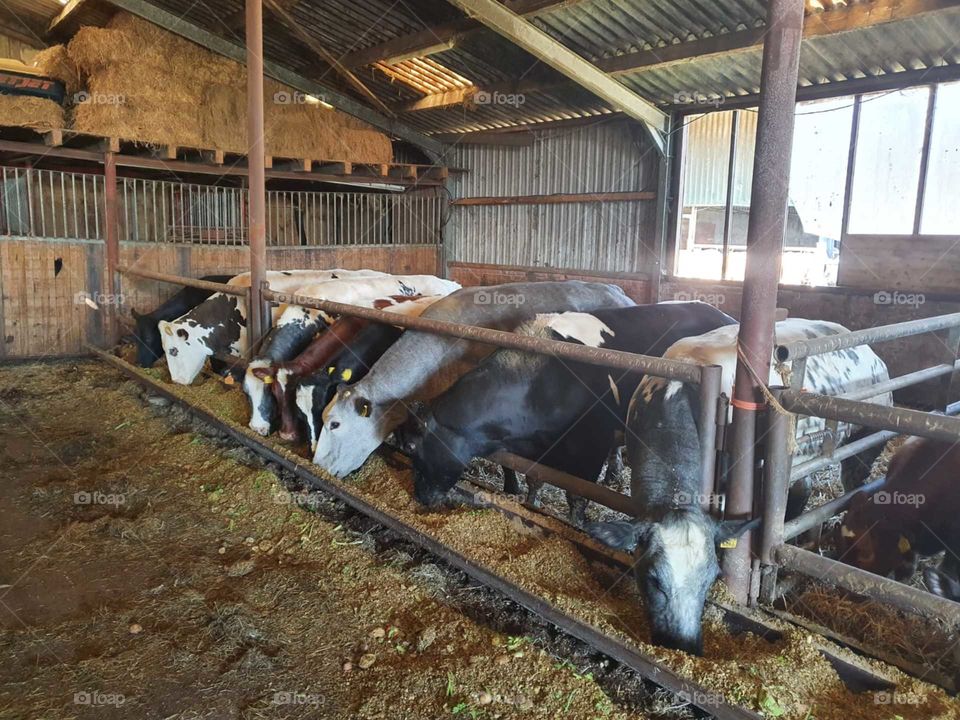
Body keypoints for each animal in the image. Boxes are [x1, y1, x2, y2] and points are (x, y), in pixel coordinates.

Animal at [398, 302, 737, 525]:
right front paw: (532, 505)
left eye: (412, 446)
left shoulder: (588, 448)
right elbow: (534, 479)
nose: (420, 496)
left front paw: (576, 526)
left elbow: (578, 496)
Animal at [588, 319, 892, 655]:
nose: (684, 645)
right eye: (653, 579)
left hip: (865, 444)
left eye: (711, 579)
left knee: (851, 486)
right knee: (803, 489)